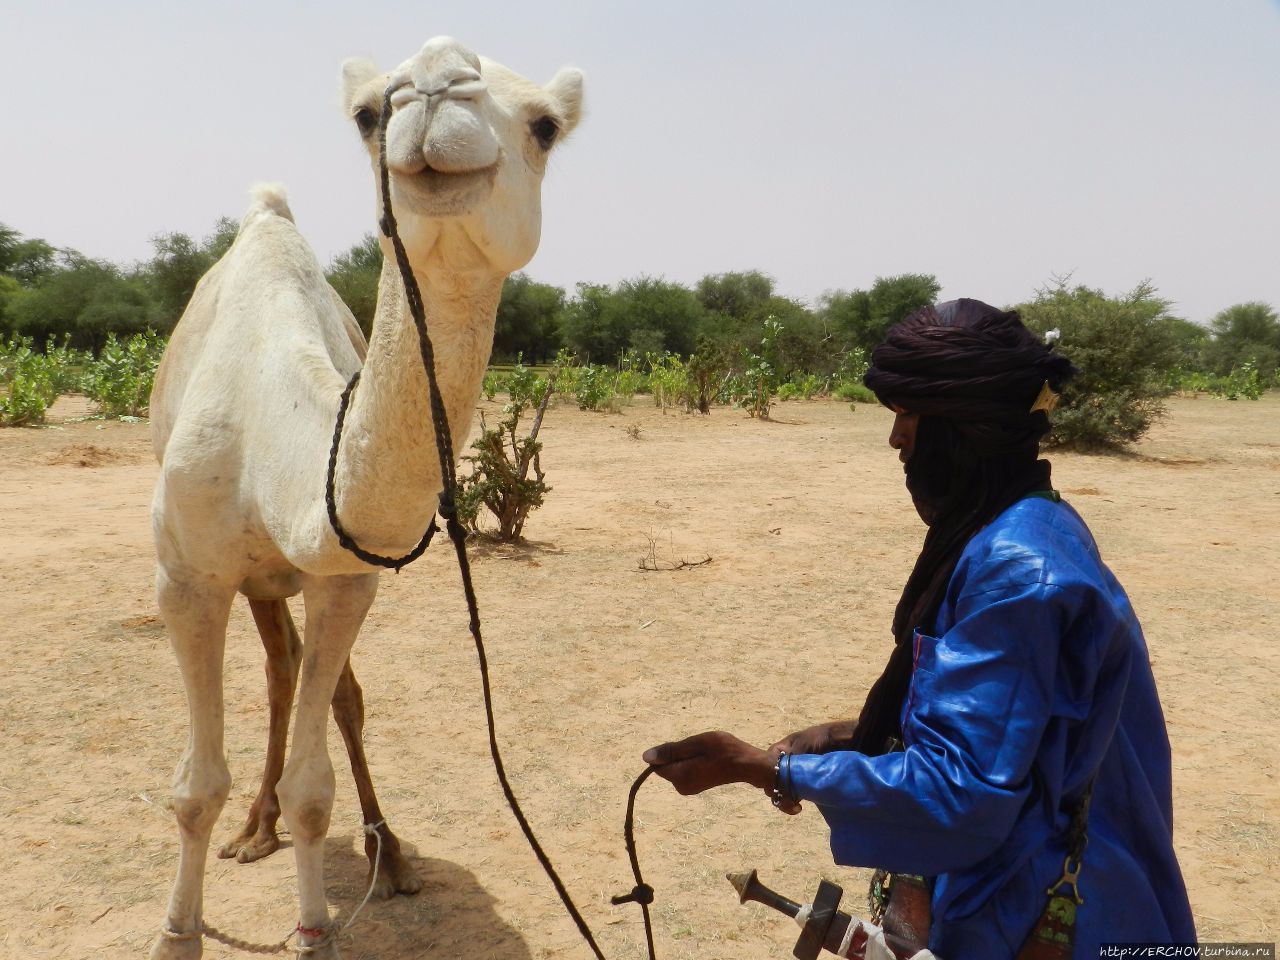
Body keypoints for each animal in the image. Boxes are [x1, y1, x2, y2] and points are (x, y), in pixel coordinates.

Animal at [147, 33, 583, 957]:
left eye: (545, 125)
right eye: (365, 112)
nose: (437, 84)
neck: (269, 437)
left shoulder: (347, 578)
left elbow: (318, 781)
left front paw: (315, 931)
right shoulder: (185, 581)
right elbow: (194, 787)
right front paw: (178, 932)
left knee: (324, 689)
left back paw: (387, 854)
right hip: (247, 581)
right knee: (277, 671)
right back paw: (252, 831)